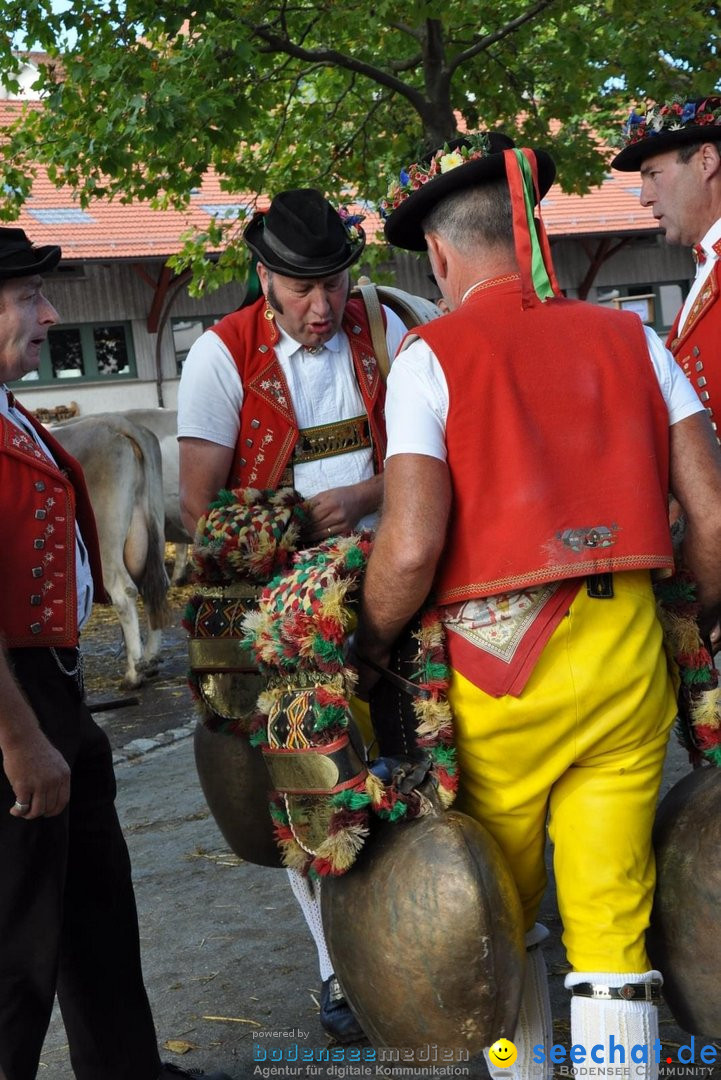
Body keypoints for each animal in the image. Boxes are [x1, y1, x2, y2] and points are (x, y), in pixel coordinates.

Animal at [50, 412, 170, 691]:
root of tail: (117, 422)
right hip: (153, 528)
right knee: (154, 586)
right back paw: (149, 660)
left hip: (105, 537)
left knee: (124, 592)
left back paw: (134, 674)